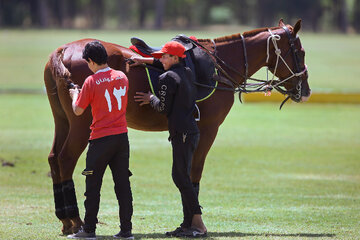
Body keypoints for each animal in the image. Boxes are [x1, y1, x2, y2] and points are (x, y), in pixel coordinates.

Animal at [44, 19, 310, 234]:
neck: (219, 68)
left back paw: (66, 220)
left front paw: (186, 223)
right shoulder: (208, 129)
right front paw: (194, 224)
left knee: (54, 158)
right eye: (300, 51)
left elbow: (185, 175)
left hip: (63, 120)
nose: (305, 91)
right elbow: (193, 174)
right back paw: (76, 221)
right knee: (66, 159)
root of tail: (62, 50)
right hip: (82, 124)